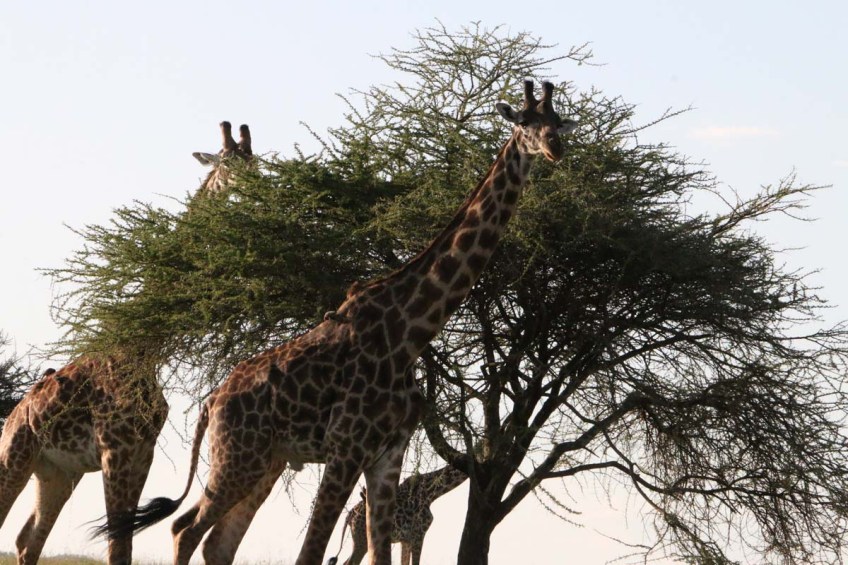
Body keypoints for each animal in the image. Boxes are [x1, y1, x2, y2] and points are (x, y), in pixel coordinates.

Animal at [0, 354, 167, 565]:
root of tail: (13, 414)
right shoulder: (114, 449)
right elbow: (117, 542)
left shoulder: (143, 454)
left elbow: (126, 538)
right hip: (15, 458)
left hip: (58, 474)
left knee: (28, 540)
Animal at [331, 465, 468, 565]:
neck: (431, 493)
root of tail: (349, 515)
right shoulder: (418, 533)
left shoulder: (406, 540)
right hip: (362, 540)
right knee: (350, 562)